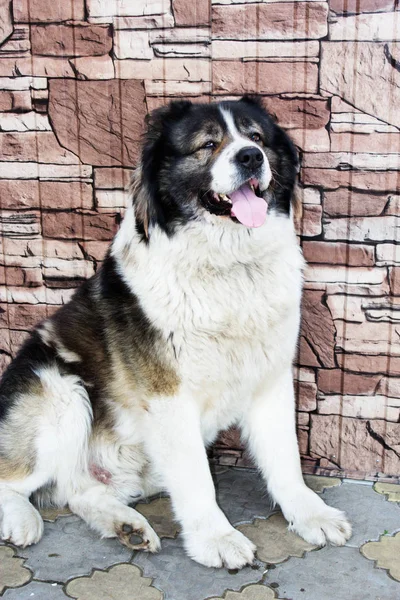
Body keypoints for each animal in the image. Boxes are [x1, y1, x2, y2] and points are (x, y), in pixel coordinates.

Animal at [0, 97, 350, 568]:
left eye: (256, 138)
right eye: (208, 144)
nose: (250, 157)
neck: (229, 267)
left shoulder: (271, 380)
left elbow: (286, 459)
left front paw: (312, 514)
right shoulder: (169, 396)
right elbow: (198, 479)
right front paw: (216, 538)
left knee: (78, 490)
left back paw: (127, 525)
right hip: (59, 391)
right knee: (14, 479)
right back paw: (24, 521)